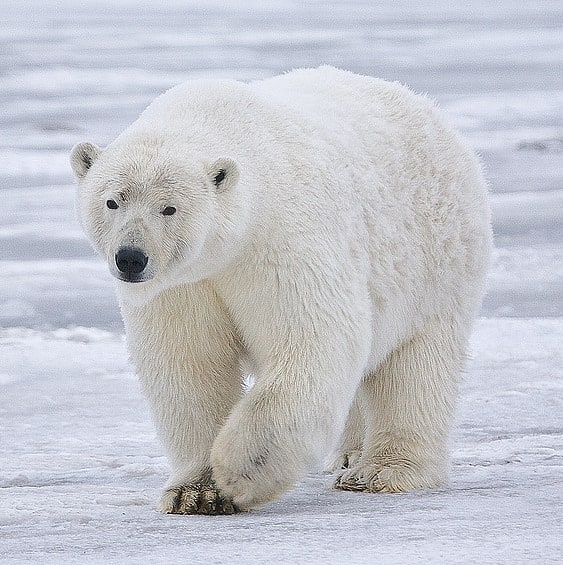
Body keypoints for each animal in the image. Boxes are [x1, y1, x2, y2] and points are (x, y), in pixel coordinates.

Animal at [71, 67, 494, 516]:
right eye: (112, 201)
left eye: (169, 208)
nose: (131, 258)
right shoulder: (182, 285)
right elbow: (189, 365)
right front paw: (195, 492)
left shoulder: (281, 240)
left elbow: (313, 340)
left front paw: (239, 472)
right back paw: (348, 456)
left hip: (436, 261)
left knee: (416, 367)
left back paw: (381, 471)